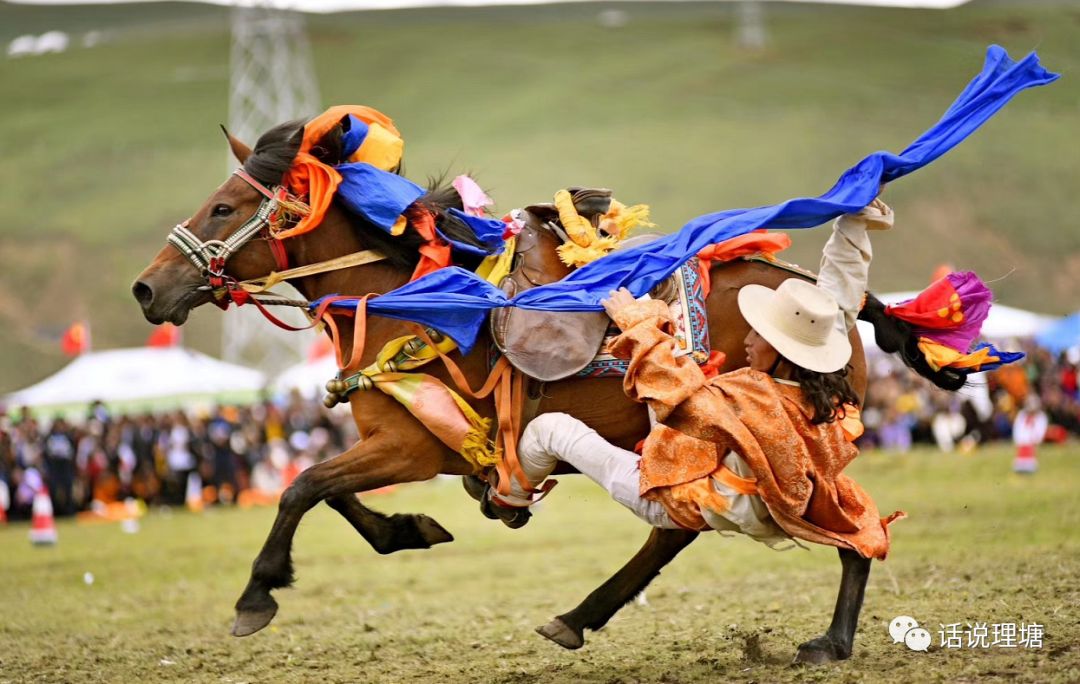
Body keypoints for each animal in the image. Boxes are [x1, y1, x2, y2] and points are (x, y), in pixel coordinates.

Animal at [132, 116, 955, 663]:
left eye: (224, 207)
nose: (146, 289)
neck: (408, 299)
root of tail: (831, 296)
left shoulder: (411, 445)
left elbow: (301, 486)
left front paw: (258, 593)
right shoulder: (395, 442)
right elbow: (328, 492)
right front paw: (410, 530)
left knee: (825, 524)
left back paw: (830, 639)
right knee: (686, 530)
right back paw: (584, 616)